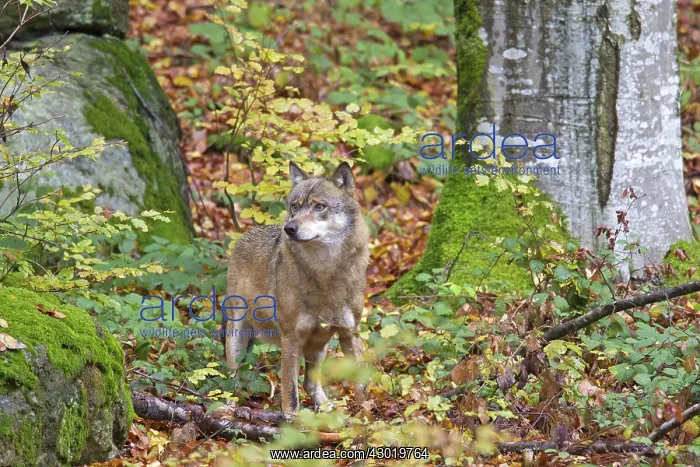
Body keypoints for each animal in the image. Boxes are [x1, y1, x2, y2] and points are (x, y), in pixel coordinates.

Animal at [224, 161, 369, 414]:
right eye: (295, 206)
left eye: (319, 207)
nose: (289, 228)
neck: (325, 273)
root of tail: (248, 232)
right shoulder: (291, 337)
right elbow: (290, 394)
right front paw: (292, 421)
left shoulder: (350, 331)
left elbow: (359, 381)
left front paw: (367, 415)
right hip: (237, 335)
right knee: (231, 378)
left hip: (318, 346)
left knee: (310, 384)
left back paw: (326, 408)